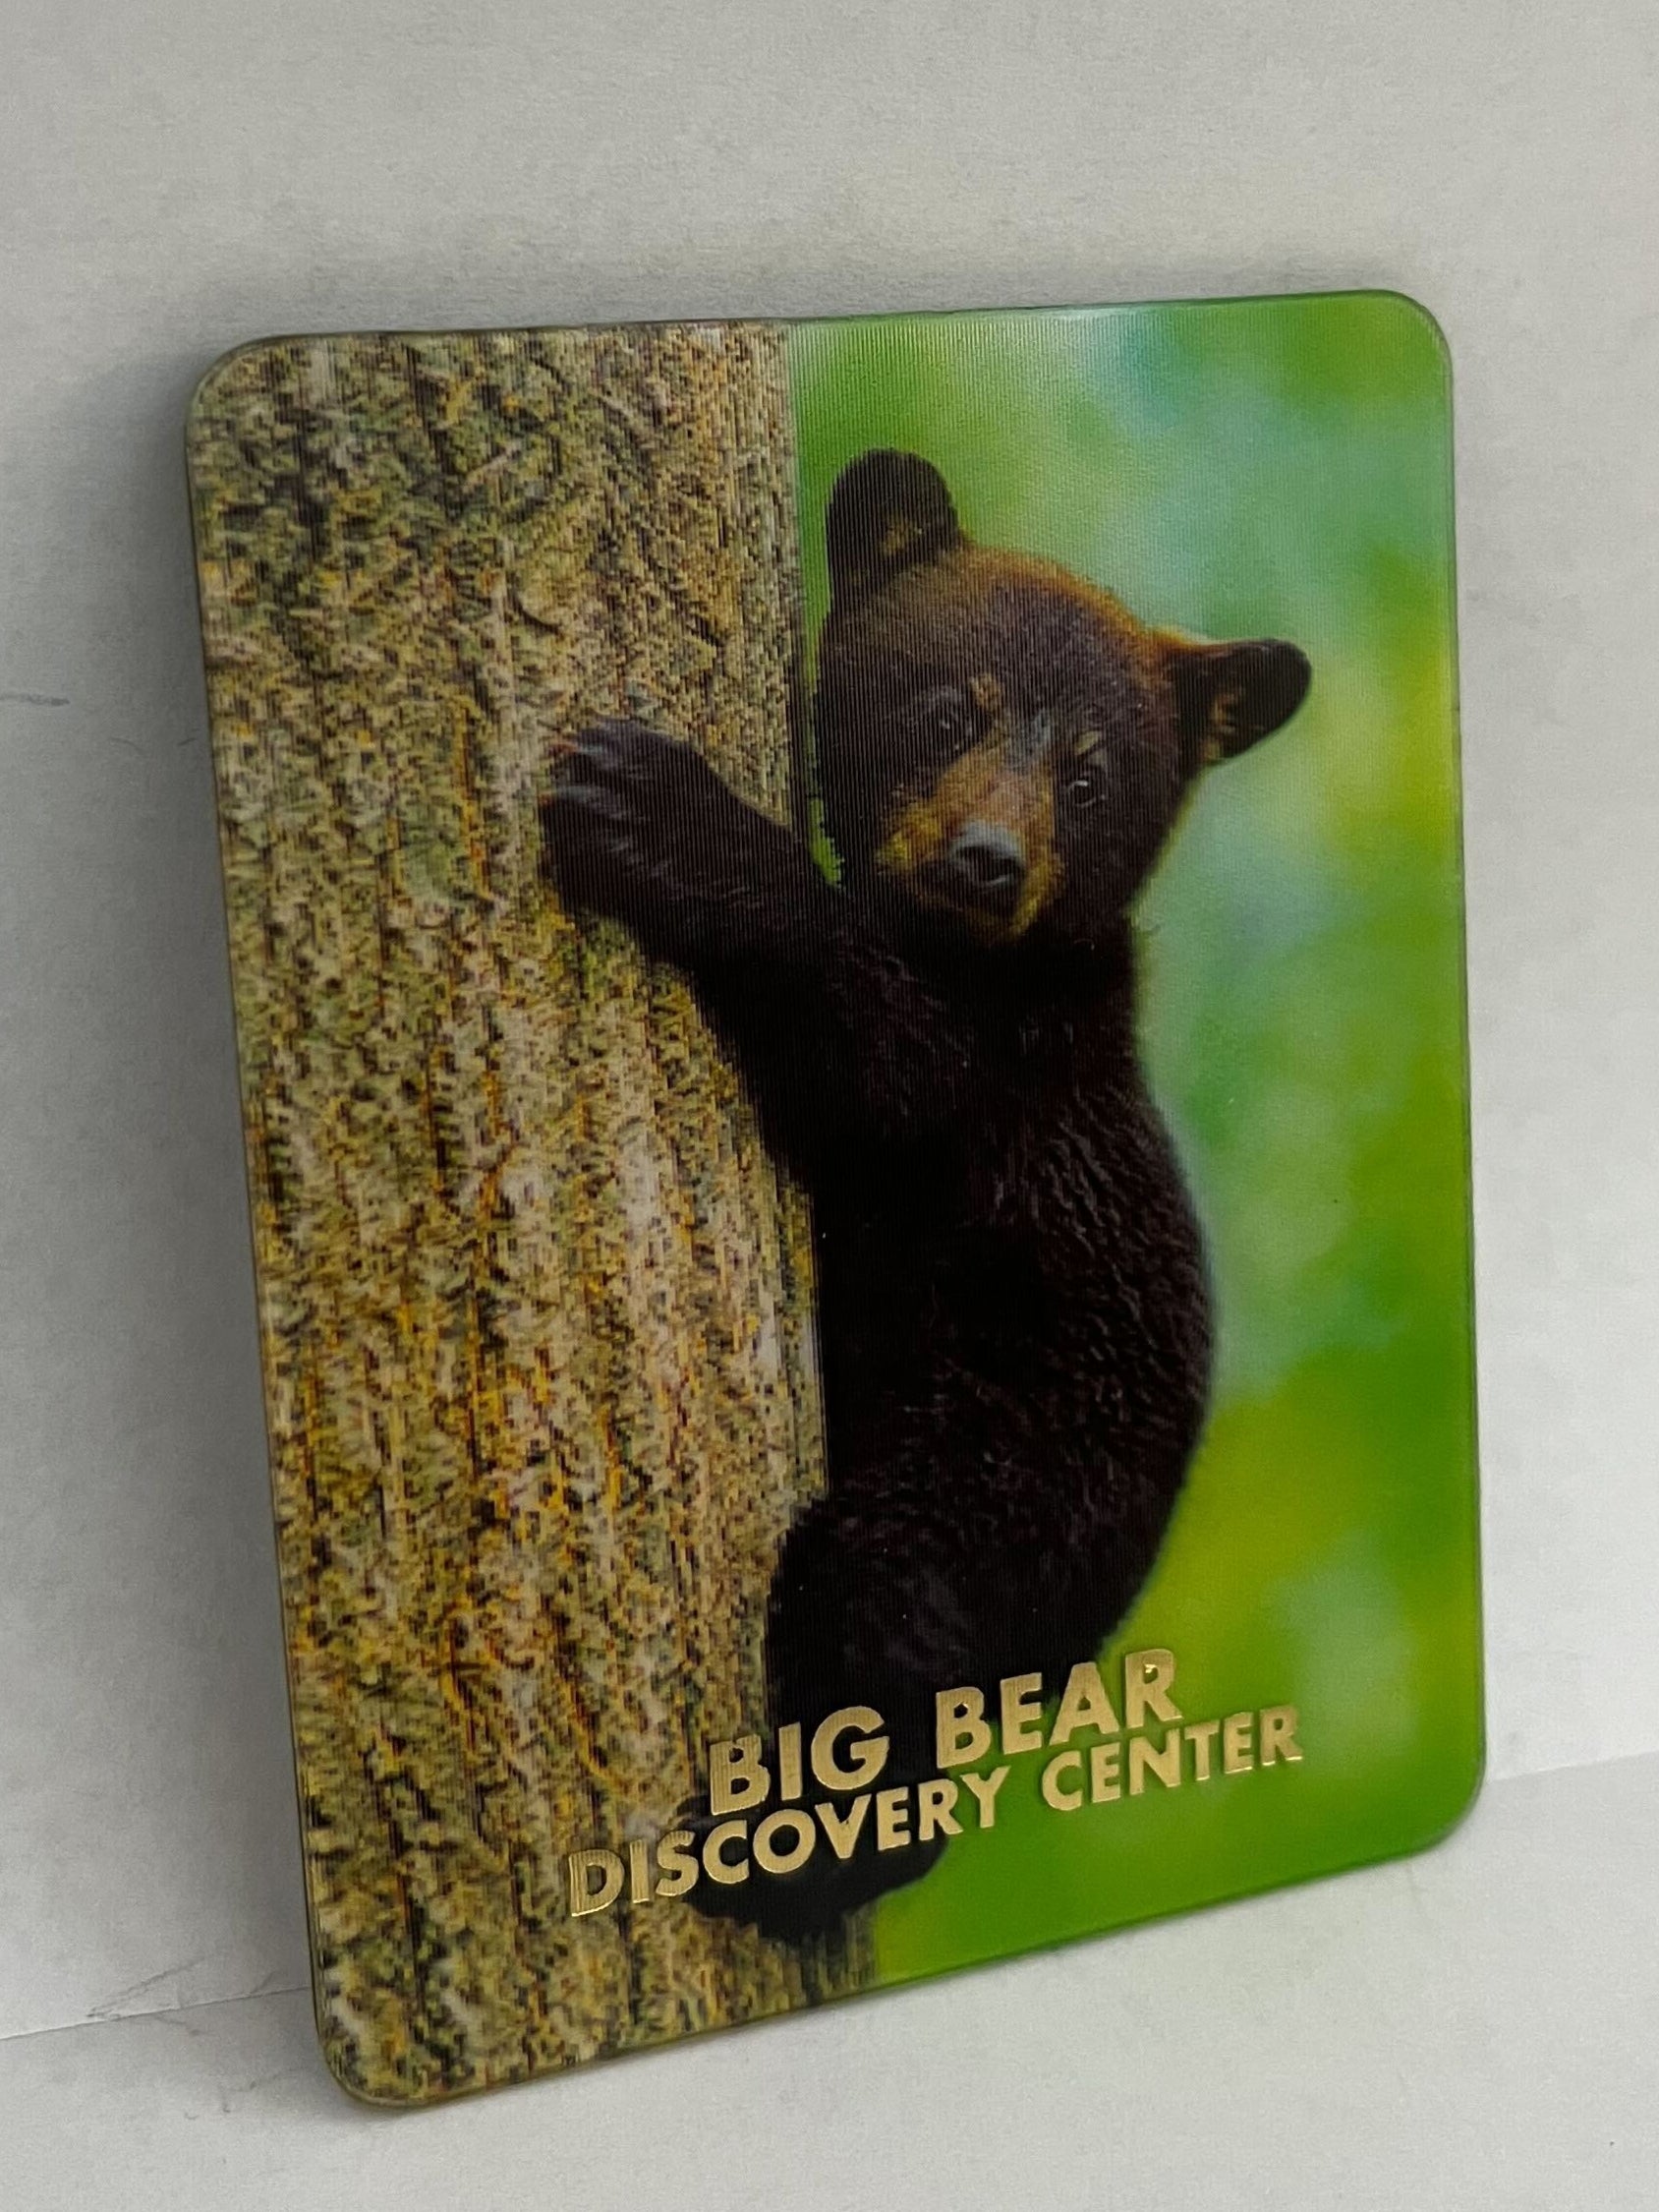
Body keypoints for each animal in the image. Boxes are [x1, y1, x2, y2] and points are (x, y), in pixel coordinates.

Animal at [540, 449, 1311, 1936]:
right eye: (951, 708)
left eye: (1090, 775)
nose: (986, 861)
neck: (983, 961)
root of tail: (1082, 1642)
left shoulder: (1006, 1088)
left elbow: (882, 1065)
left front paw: (658, 811)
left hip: (989, 1486)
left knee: (881, 1636)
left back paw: (780, 1849)